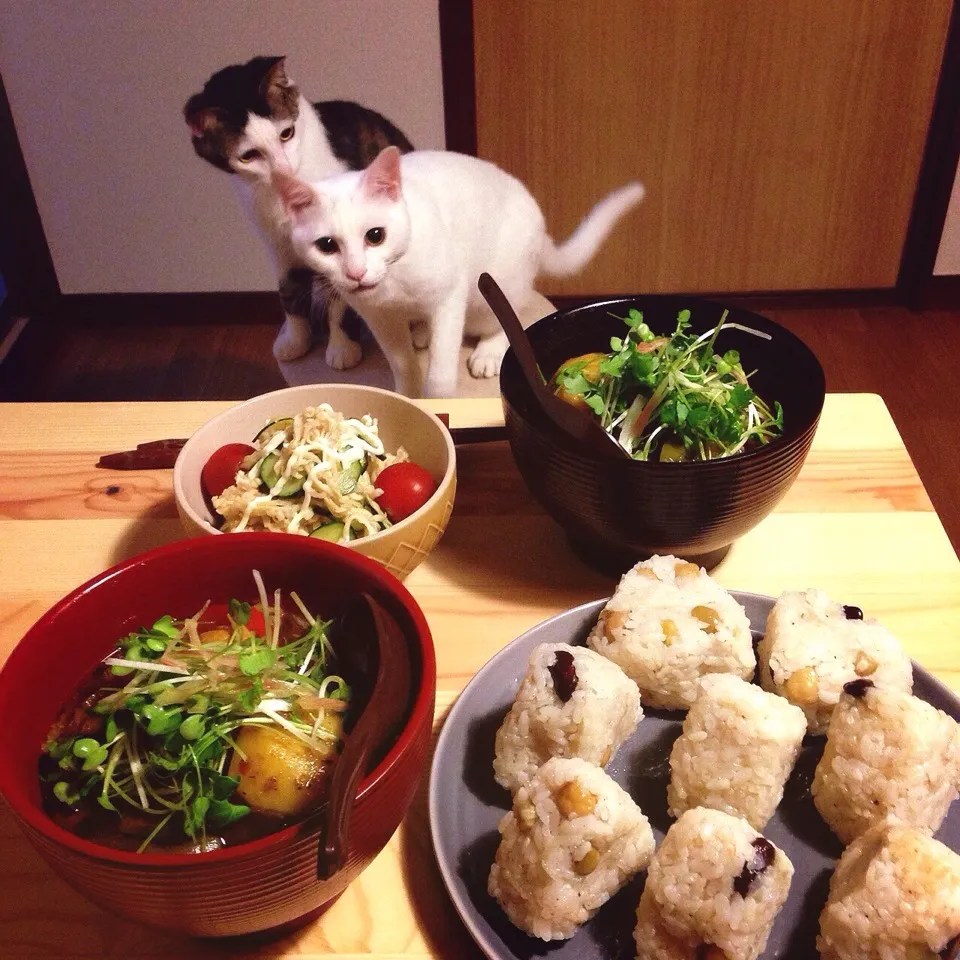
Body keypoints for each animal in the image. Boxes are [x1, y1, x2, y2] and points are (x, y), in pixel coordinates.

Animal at [184, 55, 412, 364]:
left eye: (286, 134)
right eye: (248, 155)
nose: (284, 169)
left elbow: (339, 297)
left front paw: (341, 347)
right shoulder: (277, 246)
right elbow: (288, 292)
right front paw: (295, 341)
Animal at [276, 145, 644, 398]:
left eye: (375, 235)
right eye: (326, 246)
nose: (355, 272)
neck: (393, 284)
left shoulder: (449, 298)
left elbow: (439, 375)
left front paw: (439, 404)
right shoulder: (379, 318)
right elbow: (402, 364)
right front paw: (409, 397)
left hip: (490, 290)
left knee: (505, 318)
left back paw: (487, 352)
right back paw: (421, 332)